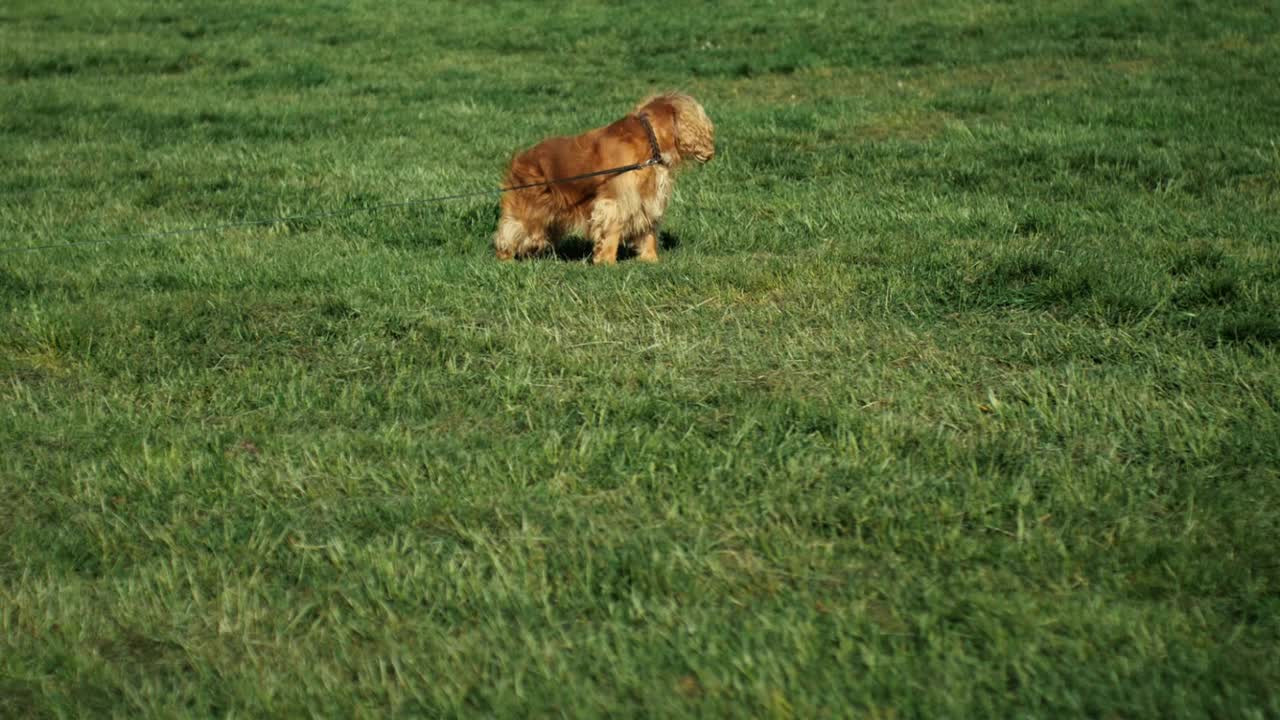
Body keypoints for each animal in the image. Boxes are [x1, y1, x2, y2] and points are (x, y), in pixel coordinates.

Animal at [491, 92, 711, 263]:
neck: (649, 142)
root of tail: (519, 159)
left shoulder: (647, 201)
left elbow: (648, 232)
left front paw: (650, 260)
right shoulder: (616, 202)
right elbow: (611, 233)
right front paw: (607, 263)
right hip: (526, 211)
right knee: (508, 232)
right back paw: (505, 260)